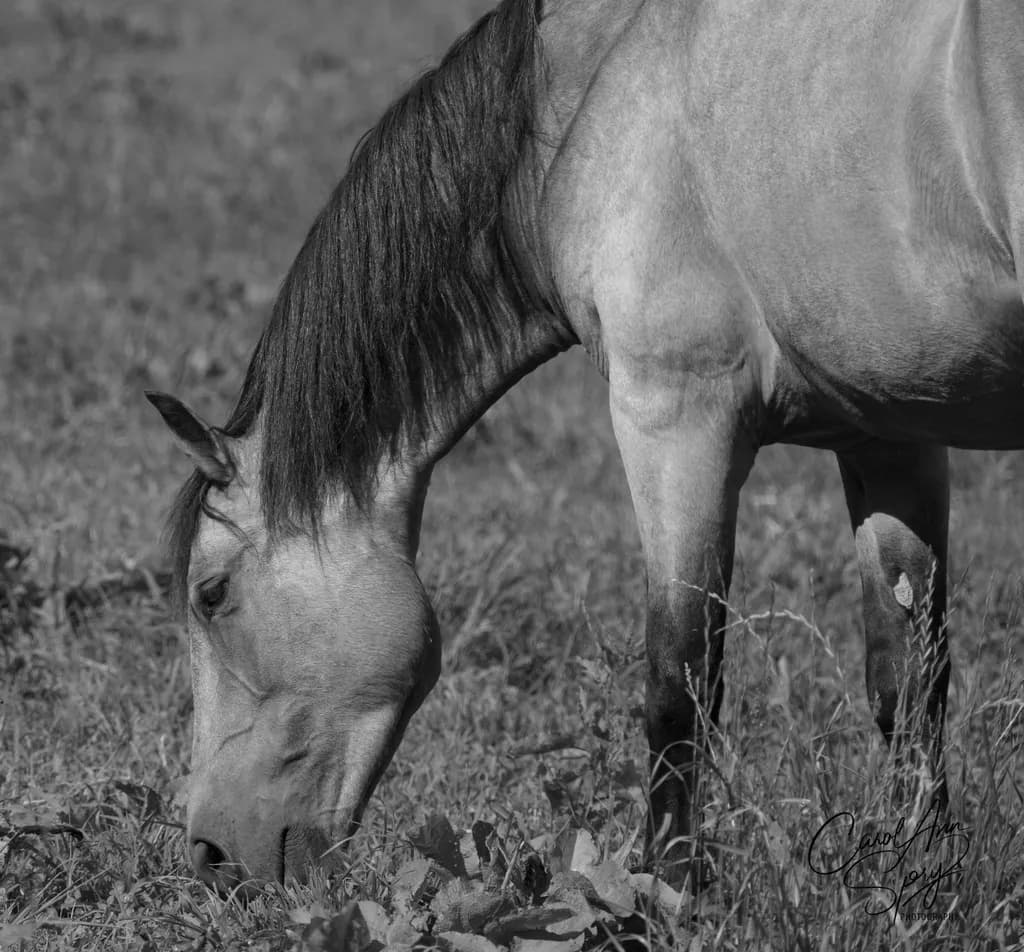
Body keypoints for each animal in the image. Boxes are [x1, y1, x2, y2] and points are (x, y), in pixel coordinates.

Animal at [148, 0, 1024, 891]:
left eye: (211, 595)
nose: (209, 855)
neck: (590, 96)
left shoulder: (673, 418)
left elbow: (678, 683)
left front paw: (665, 887)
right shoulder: (892, 437)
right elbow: (909, 681)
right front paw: (919, 876)